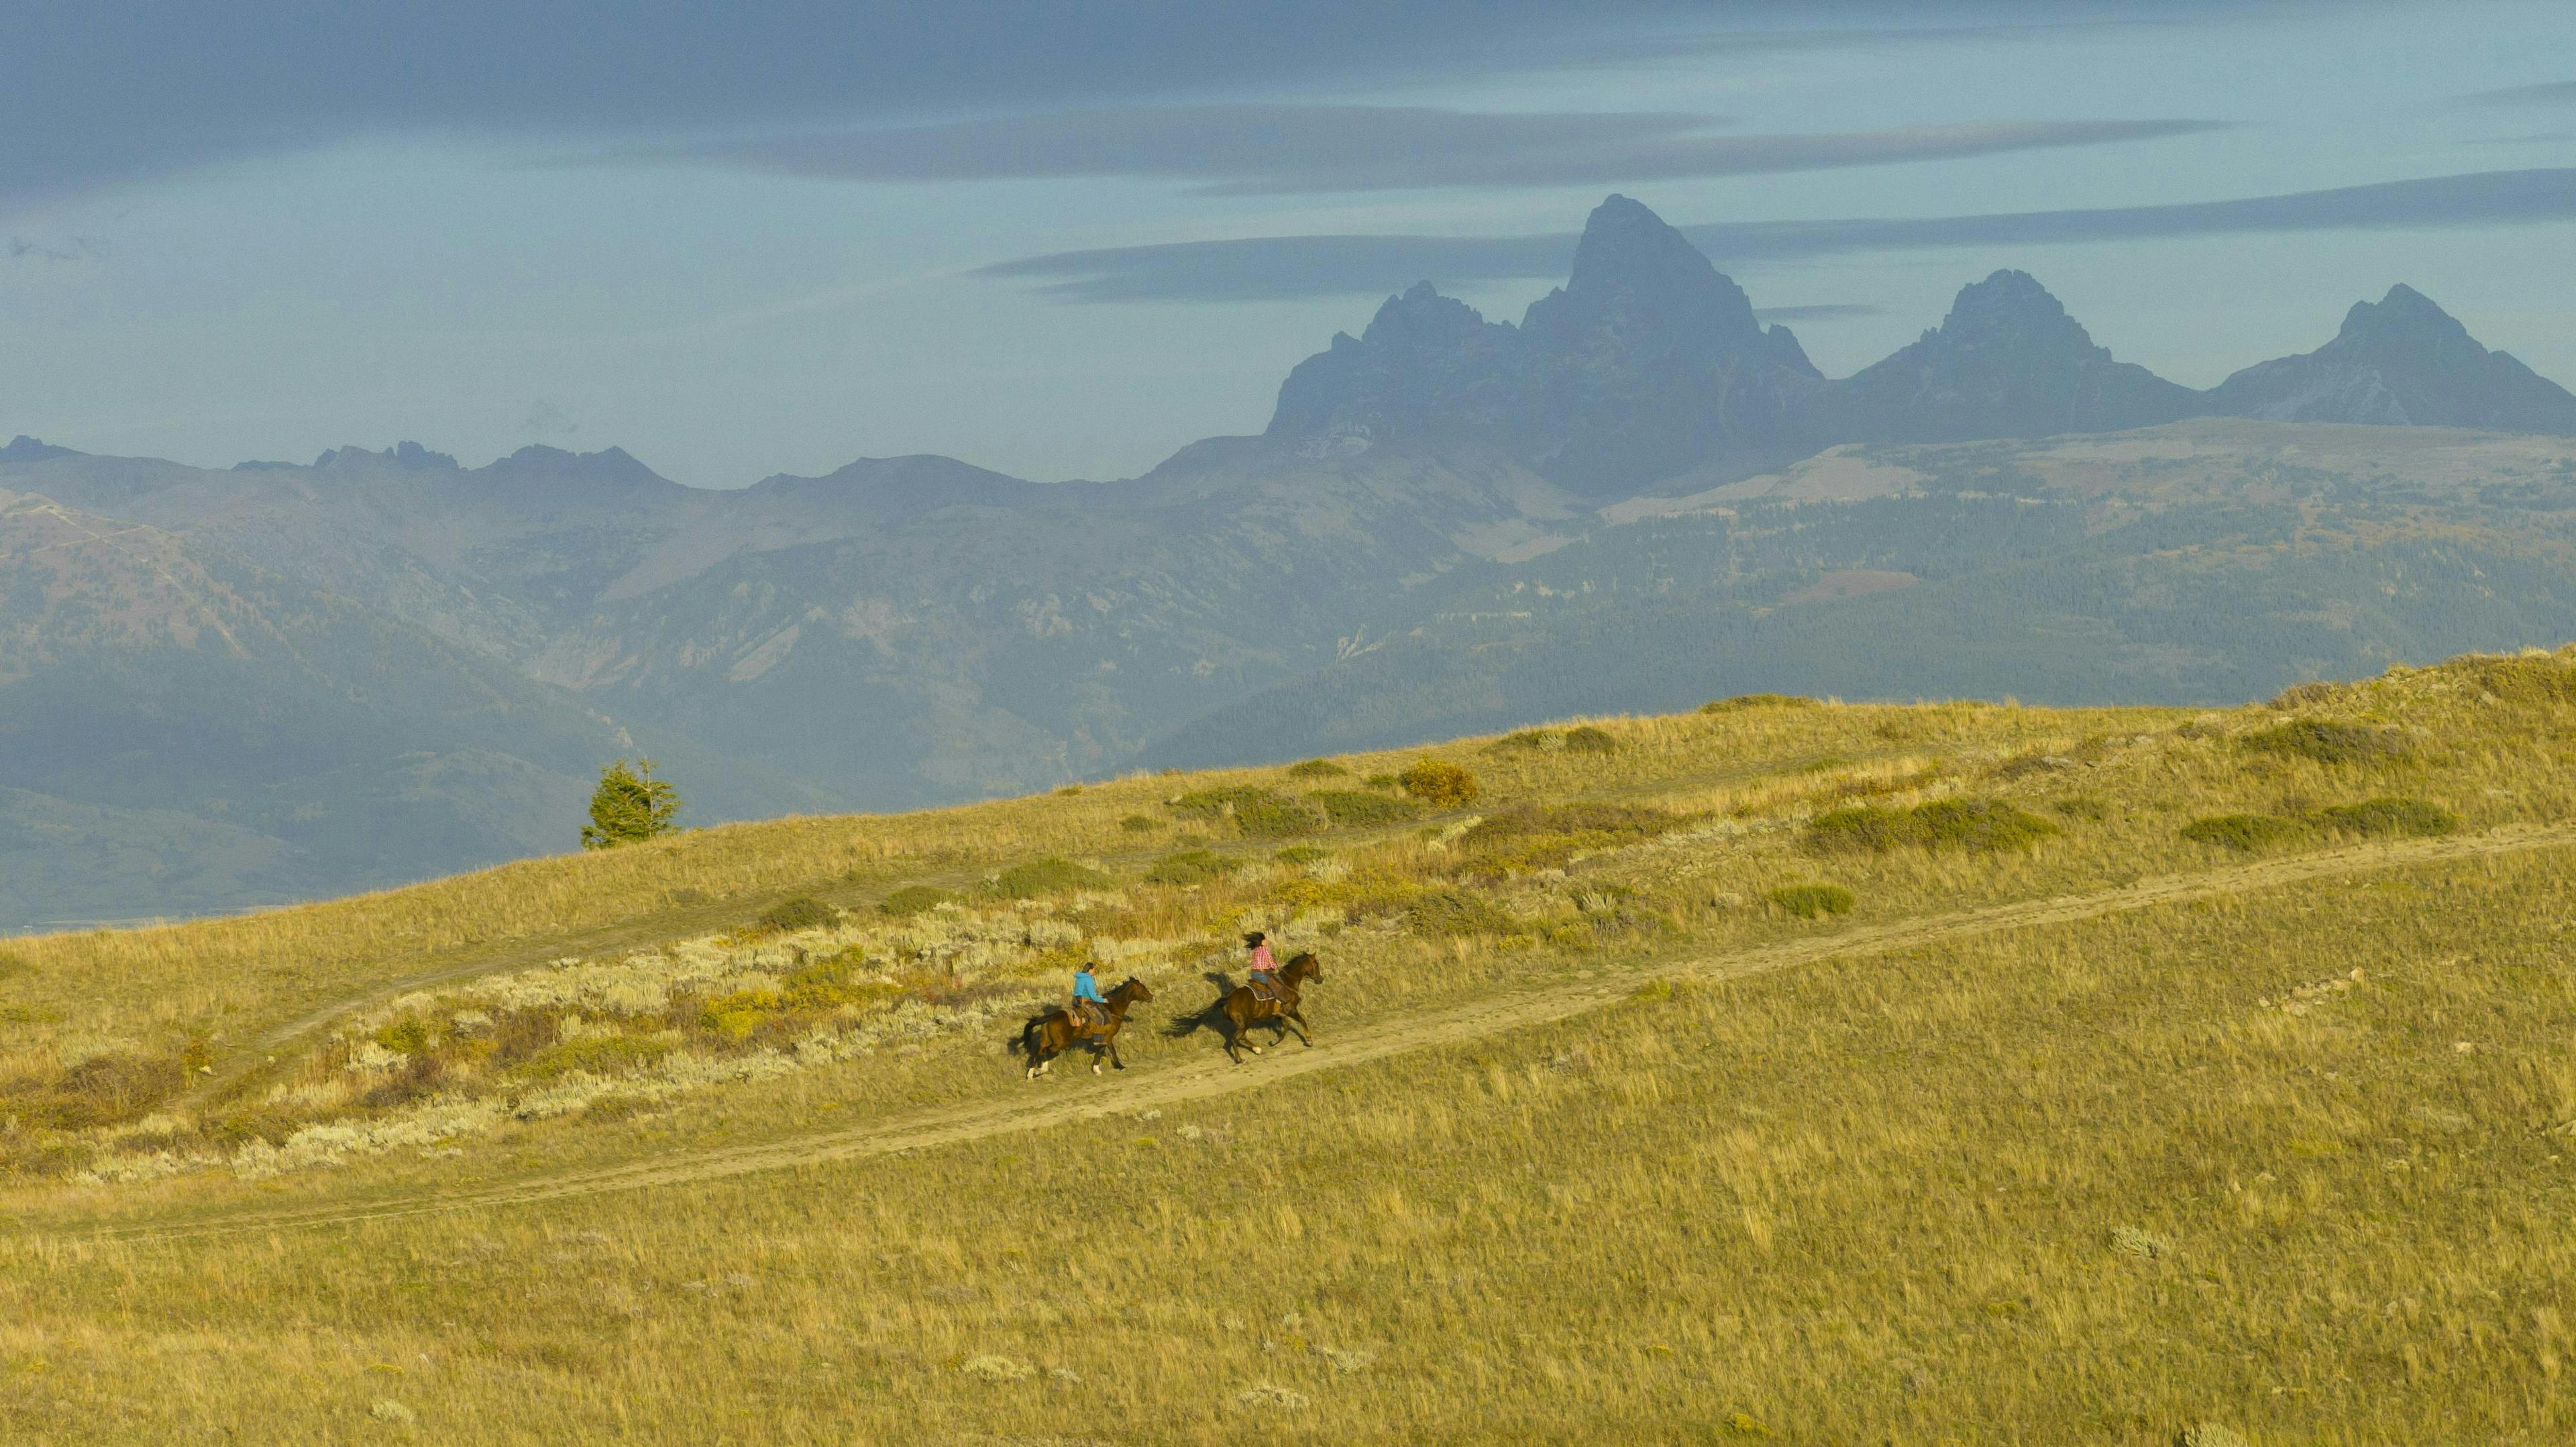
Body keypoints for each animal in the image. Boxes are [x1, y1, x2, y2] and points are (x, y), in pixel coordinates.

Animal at [1014, 973, 1159, 1076]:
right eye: (1143, 988)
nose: (1151, 997)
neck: (1112, 1009)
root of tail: (1052, 1017)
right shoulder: (1108, 1036)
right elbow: (1107, 1050)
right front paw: (1112, 1067)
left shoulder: (1105, 1037)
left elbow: (1105, 1050)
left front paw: (1104, 1068)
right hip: (1061, 1043)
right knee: (1045, 1052)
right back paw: (1041, 1070)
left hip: (1046, 1040)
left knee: (1037, 1053)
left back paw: (1030, 1074)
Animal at [1175, 947, 1319, 1061]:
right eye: (1316, 965)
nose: (1320, 979)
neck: (1288, 982)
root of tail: (1228, 999)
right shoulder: (1291, 1010)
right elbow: (1302, 1022)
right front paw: (1309, 1041)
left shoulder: (1280, 1015)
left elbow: (1287, 1027)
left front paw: (1274, 1042)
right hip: (1246, 1022)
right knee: (1235, 1039)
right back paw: (1240, 1059)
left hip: (1243, 1023)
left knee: (1241, 1037)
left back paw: (1256, 1049)